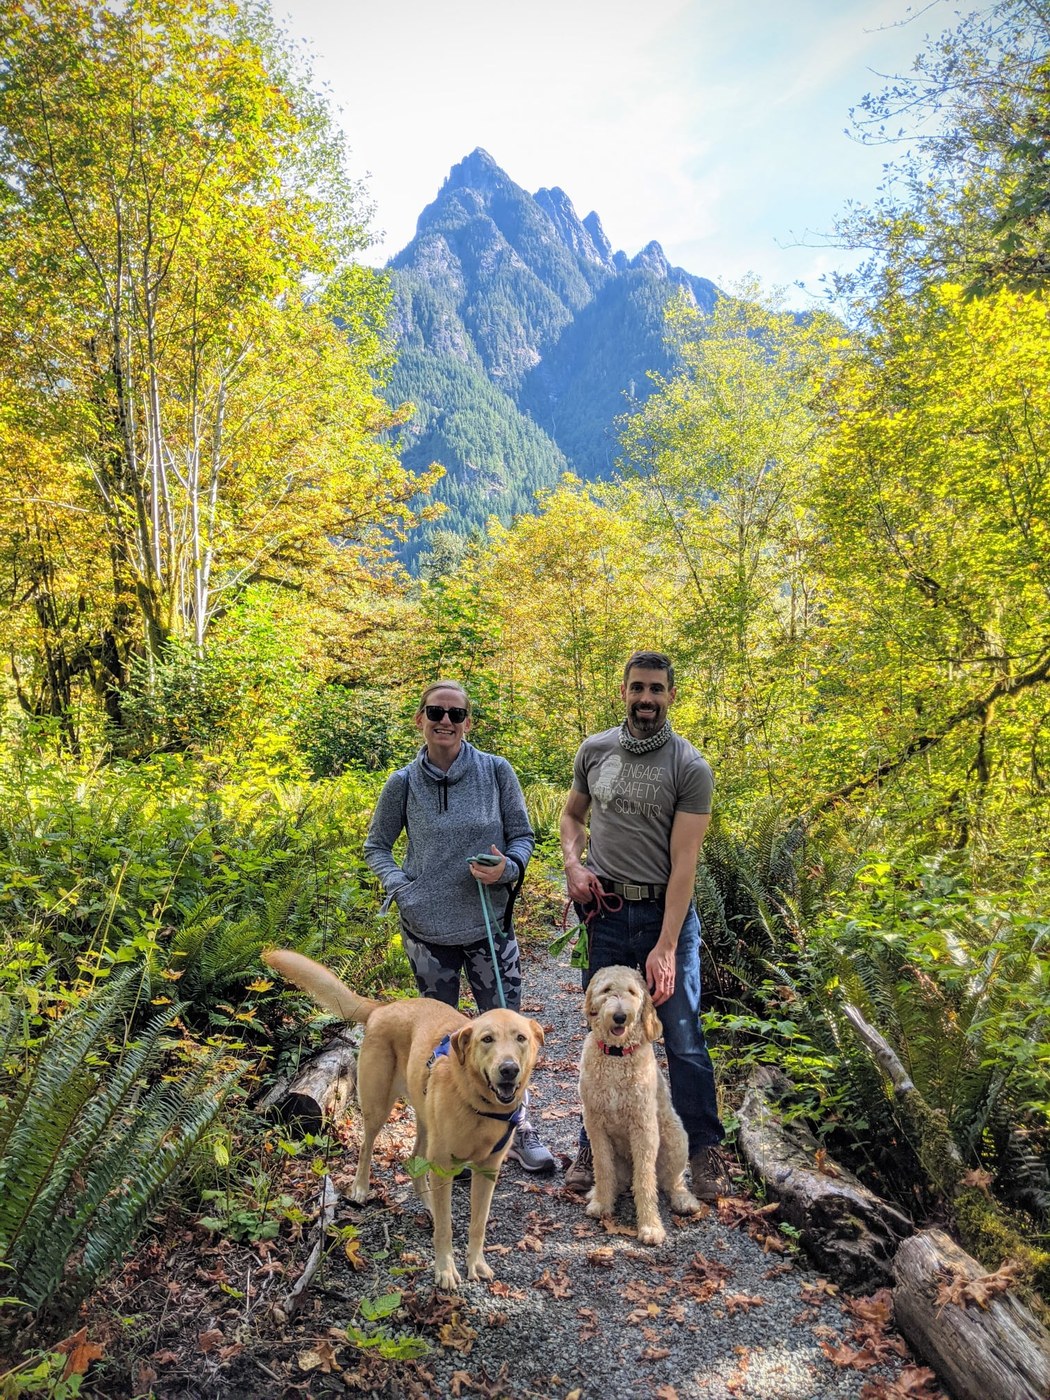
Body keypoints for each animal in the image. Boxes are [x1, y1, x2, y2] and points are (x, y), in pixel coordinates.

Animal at [264, 949, 544, 1290]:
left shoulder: (487, 1171)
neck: (479, 1105)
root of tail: (384, 1008)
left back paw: (429, 1204)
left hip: (425, 1119)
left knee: (414, 1162)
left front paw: (476, 1263)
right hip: (378, 1105)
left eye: (521, 1038)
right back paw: (361, 1188)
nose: (508, 1069)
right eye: (487, 1039)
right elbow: (447, 1229)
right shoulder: (444, 1164)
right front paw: (445, 1269)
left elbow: (477, 1224)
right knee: (367, 1146)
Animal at [578, 964, 702, 1244]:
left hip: (676, 1138)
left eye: (632, 992)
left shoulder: (643, 1128)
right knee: (619, 1178)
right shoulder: (595, 1124)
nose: (620, 1016)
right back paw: (601, 1191)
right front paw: (602, 1203)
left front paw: (650, 1226)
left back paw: (683, 1199)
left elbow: (645, 1180)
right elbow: (603, 1168)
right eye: (607, 990)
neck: (616, 1057)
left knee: (671, 1180)